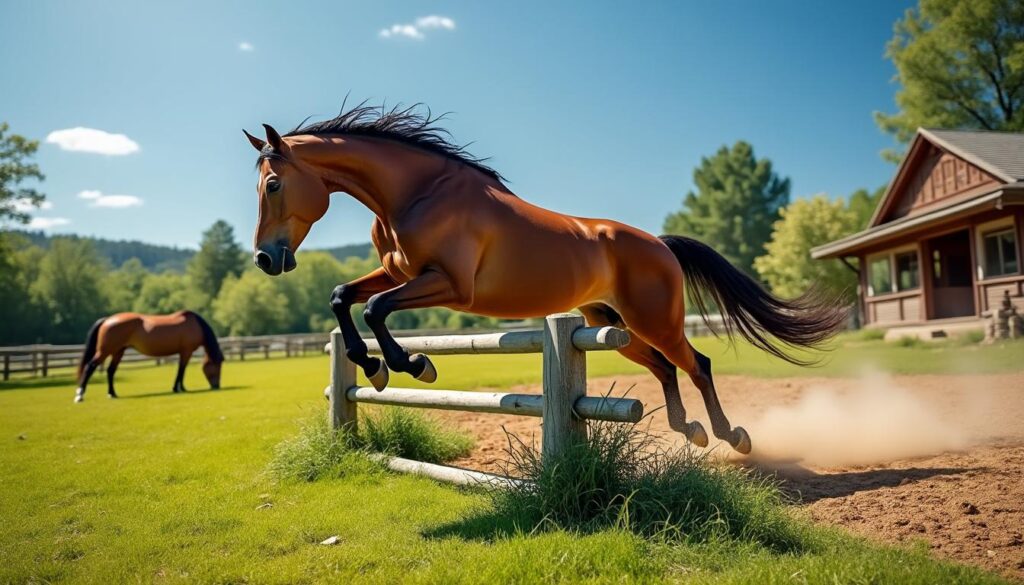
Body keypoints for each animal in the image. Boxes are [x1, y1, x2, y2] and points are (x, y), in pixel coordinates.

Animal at [74, 310, 223, 403]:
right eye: (217, 366)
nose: (216, 386)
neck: (196, 325)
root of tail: (107, 319)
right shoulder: (186, 351)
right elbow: (182, 370)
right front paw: (179, 388)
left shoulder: (184, 352)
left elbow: (181, 370)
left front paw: (180, 387)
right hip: (105, 351)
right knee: (90, 366)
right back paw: (79, 395)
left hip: (118, 351)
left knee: (111, 370)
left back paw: (112, 393)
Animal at [243, 104, 846, 453]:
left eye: (273, 184)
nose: (266, 260)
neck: (415, 194)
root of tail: (658, 243)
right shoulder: (396, 272)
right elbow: (343, 297)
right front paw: (373, 367)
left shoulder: (449, 284)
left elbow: (375, 309)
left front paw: (410, 364)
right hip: (610, 323)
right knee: (664, 369)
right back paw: (689, 430)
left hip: (655, 319)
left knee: (696, 364)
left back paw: (730, 436)